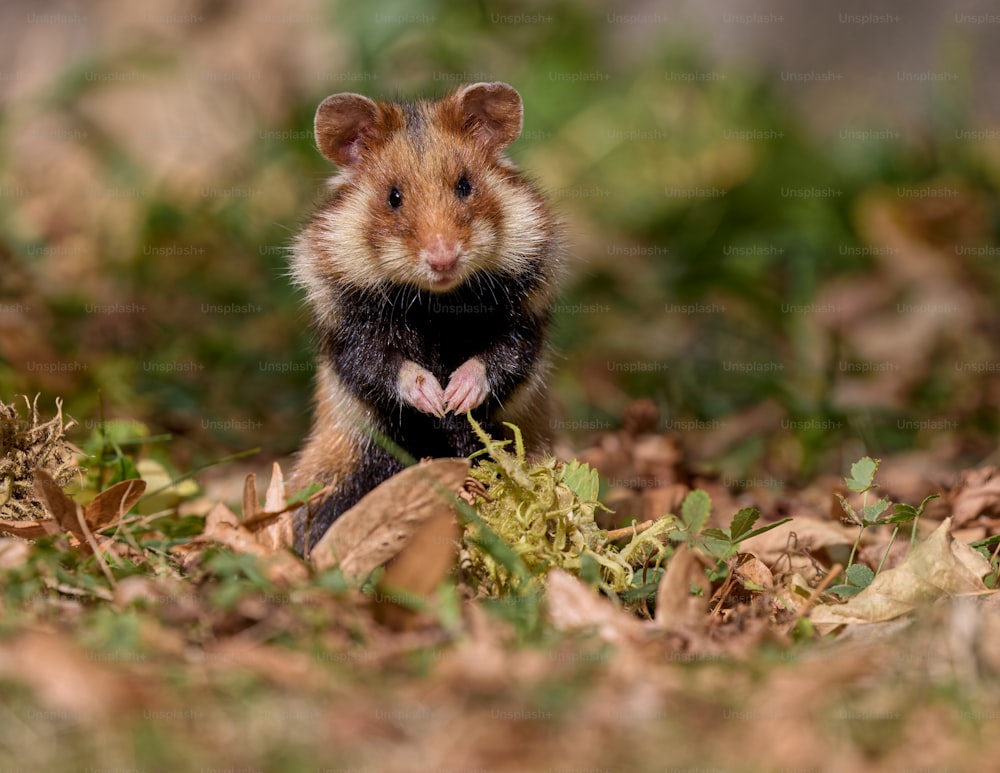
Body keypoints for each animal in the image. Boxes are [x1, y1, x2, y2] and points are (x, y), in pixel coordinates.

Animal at [288, 80, 564, 556]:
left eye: (465, 186)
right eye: (393, 197)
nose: (443, 259)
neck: (437, 304)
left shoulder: (525, 321)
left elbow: (502, 358)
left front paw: (455, 397)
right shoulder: (350, 331)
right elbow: (382, 366)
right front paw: (435, 398)